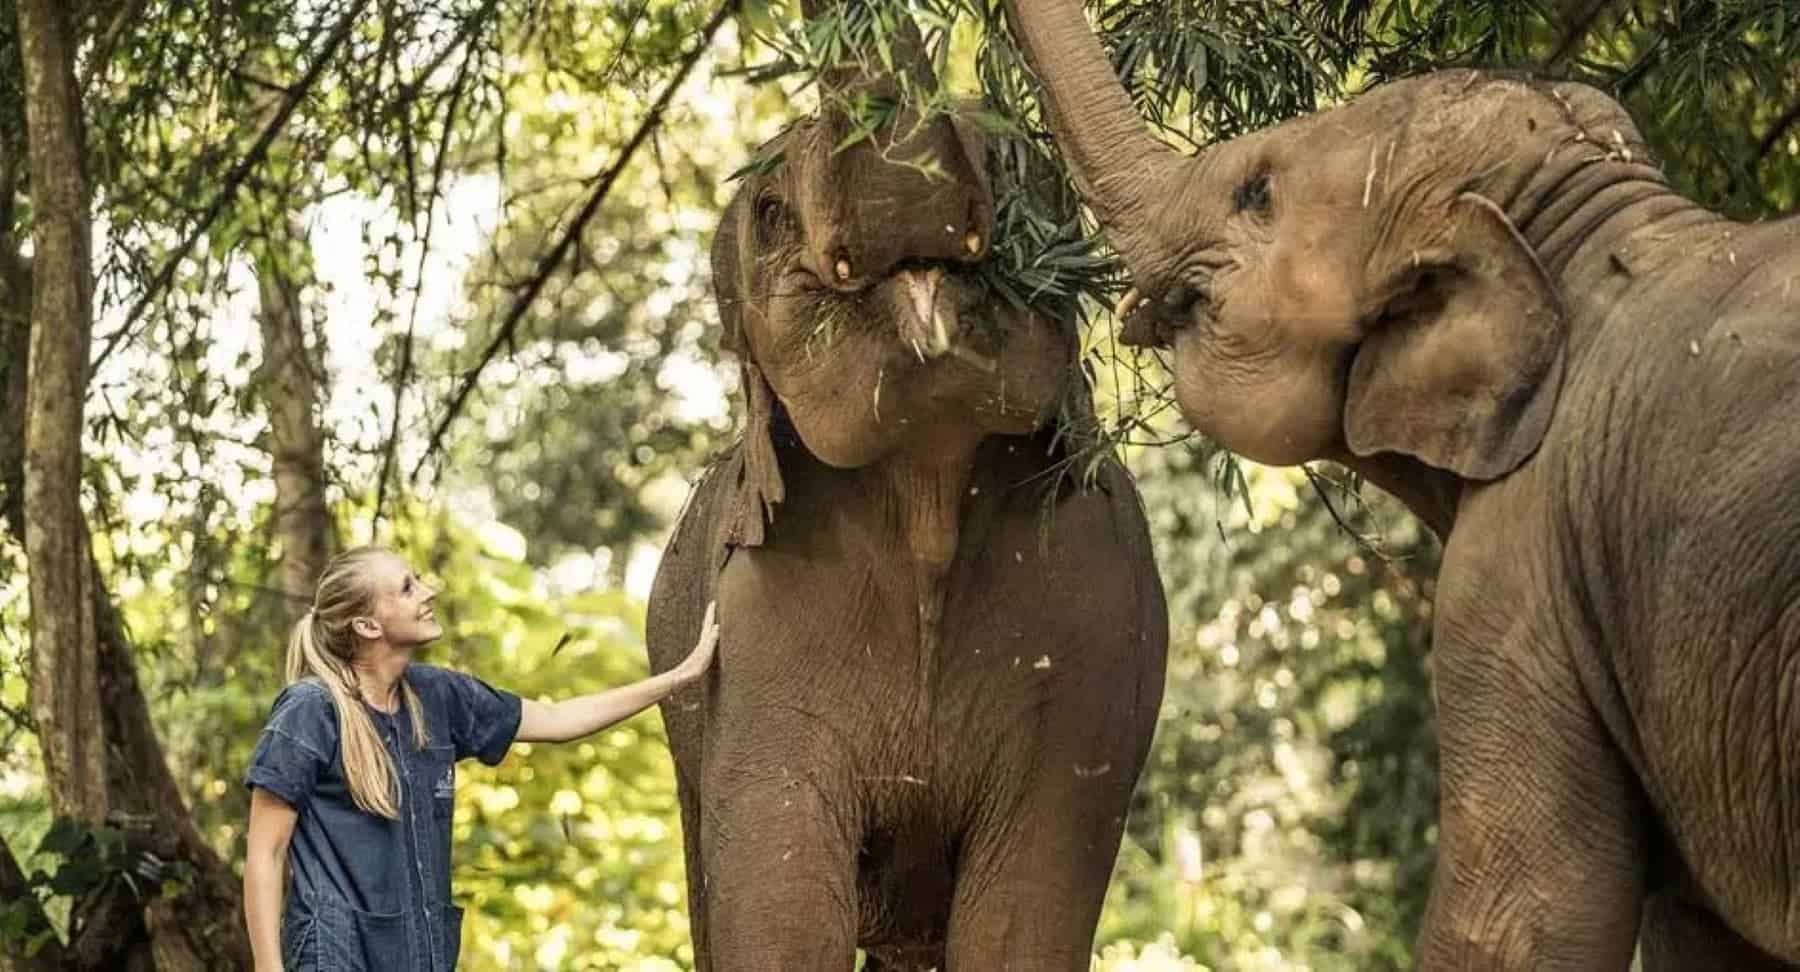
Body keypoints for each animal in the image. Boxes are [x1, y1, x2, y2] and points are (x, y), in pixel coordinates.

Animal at [642, 10, 1168, 970]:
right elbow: (784, 919)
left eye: (1019, 164)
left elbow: (1021, 921)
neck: (928, 482)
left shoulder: (1098, 640)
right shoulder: (754, 643)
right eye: (770, 213)